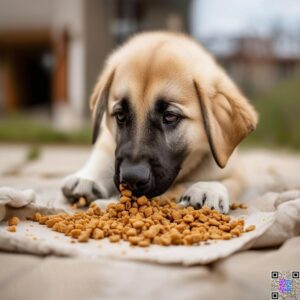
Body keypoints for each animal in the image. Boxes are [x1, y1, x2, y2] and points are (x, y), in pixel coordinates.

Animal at [61, 31, 258, 213]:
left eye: (170, 116)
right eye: (120, 115)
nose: (132, 179)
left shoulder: (235, 168)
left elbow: (228, 180)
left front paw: (208, 189)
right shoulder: (109, 142)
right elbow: (103, 154)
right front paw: (86, 178)